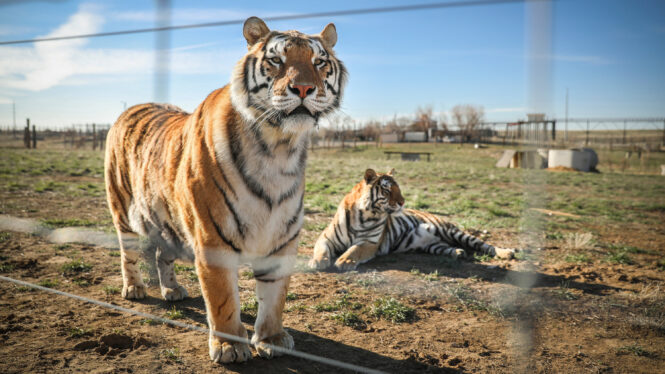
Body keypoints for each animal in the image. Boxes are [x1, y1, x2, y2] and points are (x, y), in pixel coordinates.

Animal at [104, 16, 348, 364]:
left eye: (319, 62)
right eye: (277, 60)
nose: (303, 88)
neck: (278, 147)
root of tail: (131, 108)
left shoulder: (282, 238)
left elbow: (274, 297)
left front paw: (271, 339)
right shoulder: (212, 237)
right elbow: (222, 298)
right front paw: (230, 346)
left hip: (168, 220)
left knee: (163, 255)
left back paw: (172, 290)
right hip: (122, 208)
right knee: (129, 252)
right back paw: (134, 289)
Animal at [308, 169, 516, 272]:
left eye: (398, 188)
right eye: (387, 190)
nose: (402, 202)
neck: (364, 214)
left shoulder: (370, 243)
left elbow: (354, 250)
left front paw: (344, 261)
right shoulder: (326, 238)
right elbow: (320, 249)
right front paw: (317, 262)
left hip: (452, 231)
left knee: (484, 245)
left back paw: (506, 253)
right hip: (433, 245)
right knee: (447, 247)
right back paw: (458, 253)